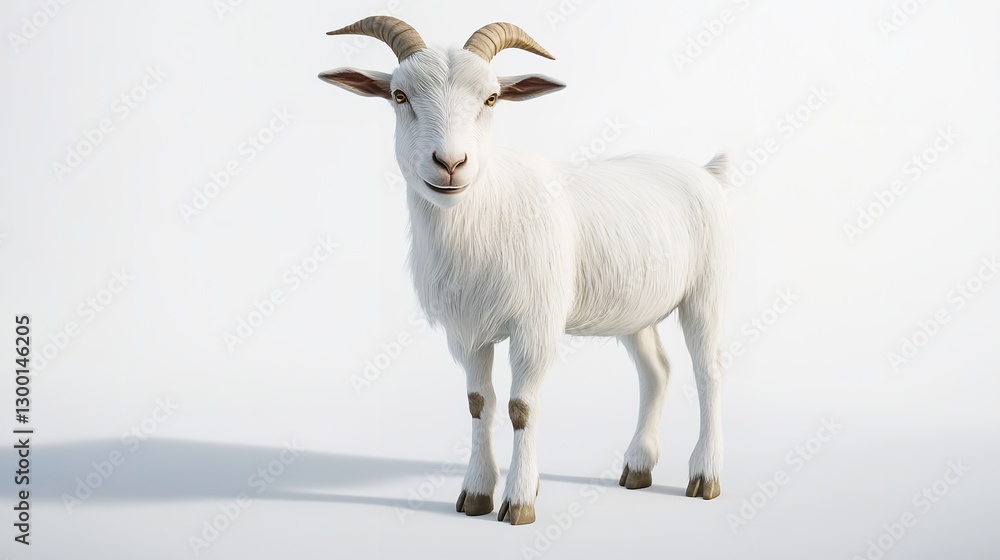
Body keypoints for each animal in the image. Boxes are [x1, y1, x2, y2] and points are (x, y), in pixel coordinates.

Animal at [320, 17, 733, 525]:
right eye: (399, 95)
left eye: (492, 98)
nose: (450, 164)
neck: (483, 213)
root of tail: (706, 171)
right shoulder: (466, 332)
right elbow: (479, 404)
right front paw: (476, 494)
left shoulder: (535, 325)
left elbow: (522, 407)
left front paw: (518, 502)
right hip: (635, 308)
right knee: (657, 370)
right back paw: (638, 466)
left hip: (706, 290)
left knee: (708, 372)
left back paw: (705, 476)